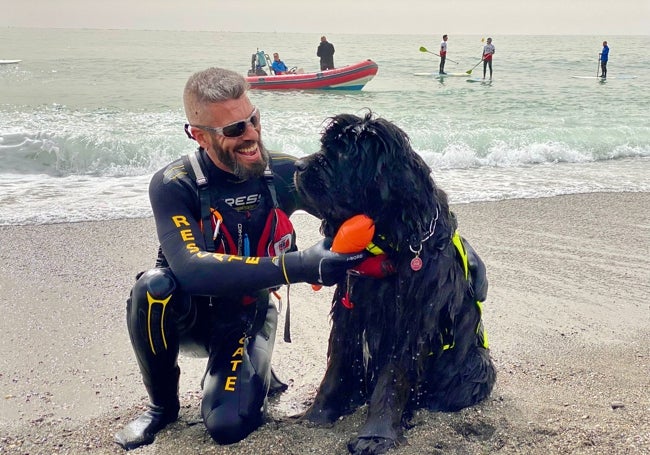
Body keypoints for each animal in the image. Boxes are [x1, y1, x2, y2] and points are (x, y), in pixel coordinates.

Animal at [292, 111, 494, 455]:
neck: (391, 243)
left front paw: (375, 436)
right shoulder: (349, 309)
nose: (298, 166)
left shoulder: (410, 319)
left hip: (478, 364)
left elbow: (392, 379)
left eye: (343, 153)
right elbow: (336, 365)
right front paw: (317, 415)